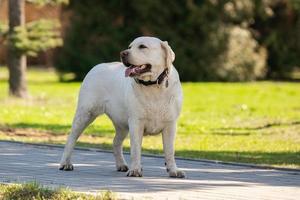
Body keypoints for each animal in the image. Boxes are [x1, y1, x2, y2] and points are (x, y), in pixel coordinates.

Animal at [58, 36, 185, 177]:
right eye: (129, 47)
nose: (123, 53)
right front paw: (135, 170)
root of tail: (97, 66)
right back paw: (65, 163)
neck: (153, 85)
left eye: (142, 46)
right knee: (71, 138)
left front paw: (173, 170)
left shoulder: (170, 124)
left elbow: (170, 150)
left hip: (122, 124)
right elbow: (135, 149)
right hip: (85, 114)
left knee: (116, 142)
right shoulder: (136, 122)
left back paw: (121, 165)